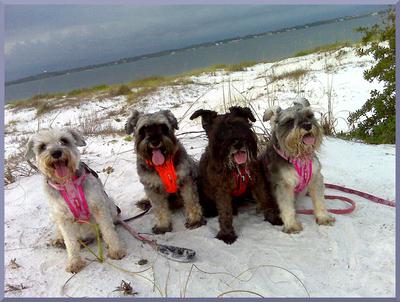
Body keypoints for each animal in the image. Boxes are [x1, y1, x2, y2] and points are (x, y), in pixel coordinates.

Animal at [25, 129, 125, 274]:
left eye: (64, 140)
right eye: (42, 146)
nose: (56, 153)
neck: (67, 183)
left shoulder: (98, 207)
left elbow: (108, 231)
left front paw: (116, 250)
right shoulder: (62, 218)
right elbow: (70, 243)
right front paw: (74, 262)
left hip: (110, 205)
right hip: (54, 215)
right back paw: (58, 239)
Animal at [260, 99, 336, 234]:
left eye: (309, 115)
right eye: (289, 121)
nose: (307, 125)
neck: (299, 157)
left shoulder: (316, 177)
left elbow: (319, 200)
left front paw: (323, 217)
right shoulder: (284, 184)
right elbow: (287, 206)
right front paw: (291, 225)